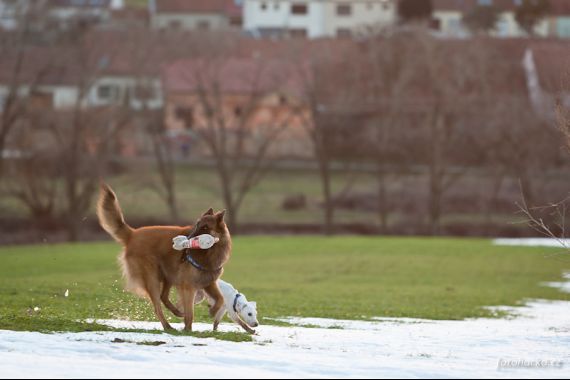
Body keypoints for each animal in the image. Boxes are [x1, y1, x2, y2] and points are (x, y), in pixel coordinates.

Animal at [96, 186, 231, 332]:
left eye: (205, 227)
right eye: (197, 225)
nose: (187, 240)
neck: (209, 252)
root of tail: (133, 234)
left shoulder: (209, 282)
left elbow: (221, 299)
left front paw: (212, 311)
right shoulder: (189, 287)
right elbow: (190, 313)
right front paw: (187, 330)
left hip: (168, 276)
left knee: (164, 297)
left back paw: (177, 312)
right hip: (153, 279)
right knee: (157, 307)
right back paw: (168, 326)